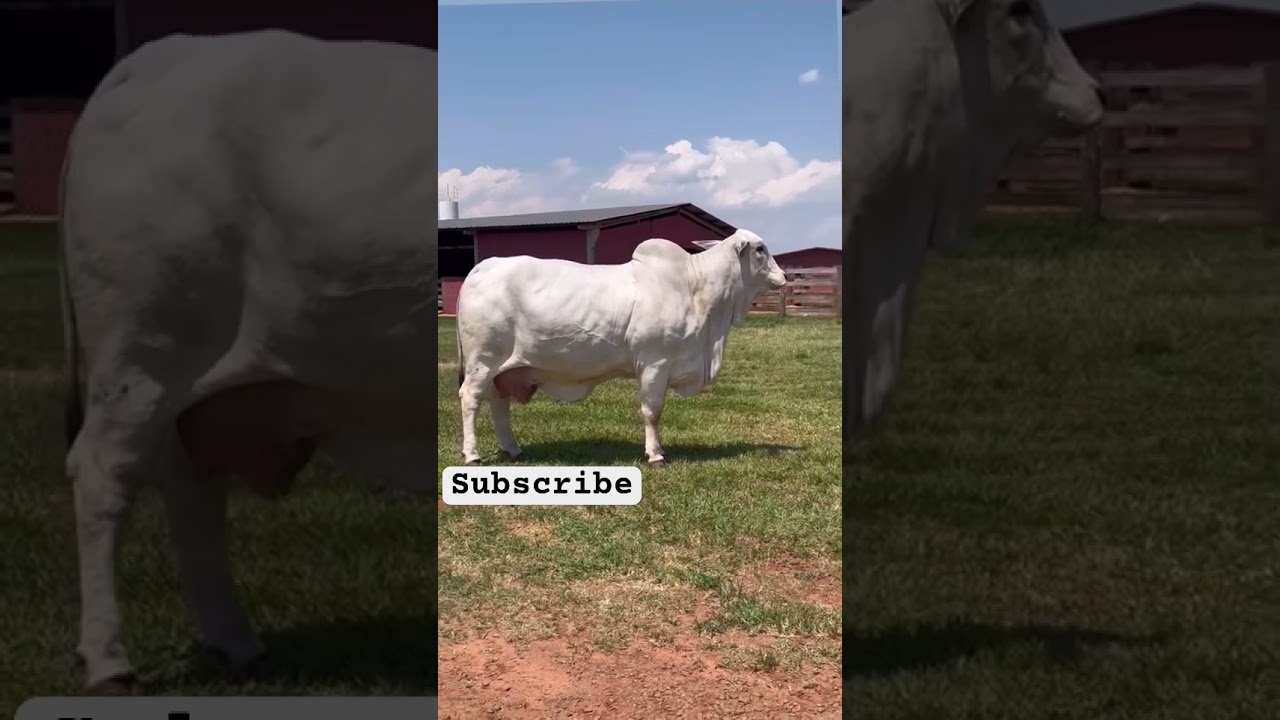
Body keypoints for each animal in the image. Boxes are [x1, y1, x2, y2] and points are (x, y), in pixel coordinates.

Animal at [58, 30, 436, 692]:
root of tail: (154, 57)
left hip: (191, 386)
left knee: (192, 494)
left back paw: (236, 644)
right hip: (141, 354)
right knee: (104, 478)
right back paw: (109, 661)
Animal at [454, 230, 788, 467]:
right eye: (760, 249)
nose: (784, 276)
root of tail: (482, 267)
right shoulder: (655, 363)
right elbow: (652, 411)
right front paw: (656, 455)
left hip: (504, 367)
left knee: (499, 403)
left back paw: (512, 449)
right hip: (482, 361)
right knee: (471, 399)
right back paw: (472, 455)